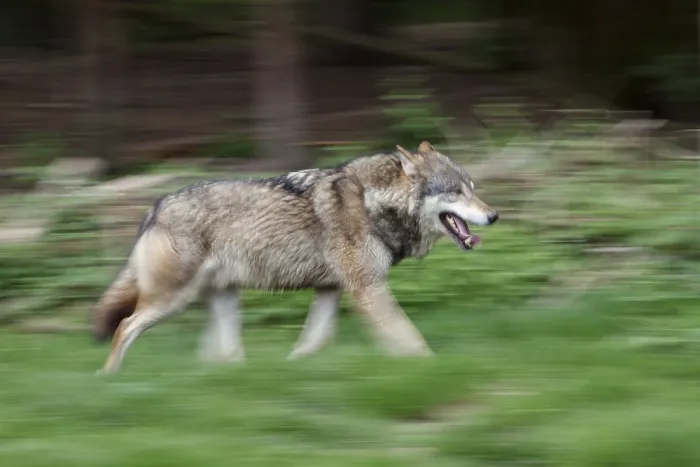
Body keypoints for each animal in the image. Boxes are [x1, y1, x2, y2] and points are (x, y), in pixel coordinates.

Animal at [91, 141, 498, 374]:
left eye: (473, 189)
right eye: (457, 192)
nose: (494, 215)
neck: (373, 202)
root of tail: (156, 207)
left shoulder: (332, 290)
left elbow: (312, 343)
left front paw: (293, 373)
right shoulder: (367, 289)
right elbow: (410, 339)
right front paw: (434, 369)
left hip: (221, 301)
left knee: (223, 355)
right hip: (171, 301)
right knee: (124, 326)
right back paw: (108, 380)